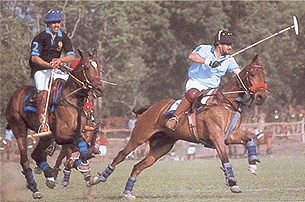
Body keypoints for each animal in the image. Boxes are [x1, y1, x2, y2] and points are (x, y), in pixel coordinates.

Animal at [4, 49, 103, 199]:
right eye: (86, 67)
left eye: (99, 67)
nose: (99, 89)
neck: (71, 99)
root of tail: (15, 94)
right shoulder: (62, 135)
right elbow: (78, 147)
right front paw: (82, 164)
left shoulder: (73, 134)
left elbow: (85, 148)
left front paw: (86, 169)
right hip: (18, 128)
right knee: (25, 159)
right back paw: (35, 188)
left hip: (46, 135)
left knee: (36, 154)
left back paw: (49, 174)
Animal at [92, 54, 266, 198]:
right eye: (251, 74)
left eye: (264, 75)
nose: (261, 97)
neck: (226, 102)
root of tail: (149, 109)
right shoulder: (216, 136)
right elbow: (225, 158)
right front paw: (233, 183)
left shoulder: (229, 136)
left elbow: (249, 140)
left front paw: (252, 165)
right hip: (139, 136)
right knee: (121, 155)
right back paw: (97, 178)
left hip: (162, 146)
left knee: (138, 165)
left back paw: (127, 192)